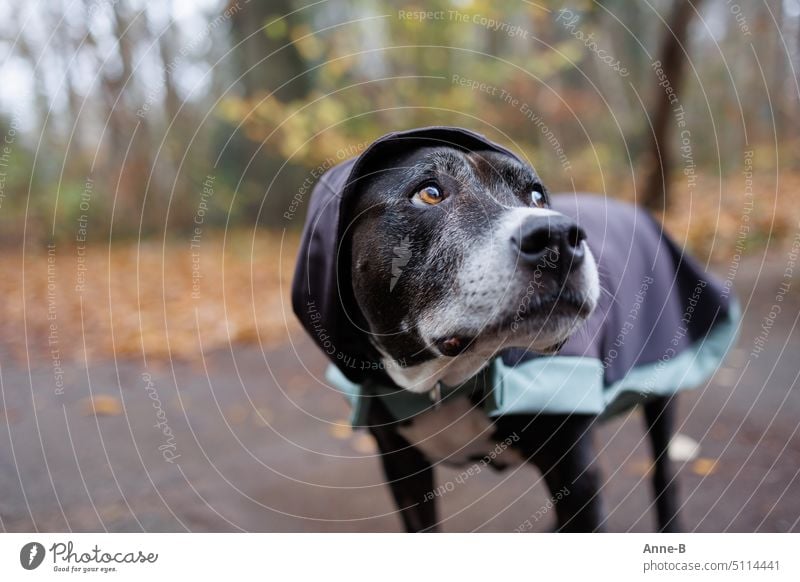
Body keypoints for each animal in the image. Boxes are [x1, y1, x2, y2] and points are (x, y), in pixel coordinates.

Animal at [292, 126, 736, 532]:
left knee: (664, 476)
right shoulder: (403, 471)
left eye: (537, 196)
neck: (448, 381)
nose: (558, 236)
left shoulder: (576, 476)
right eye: (429, 193)